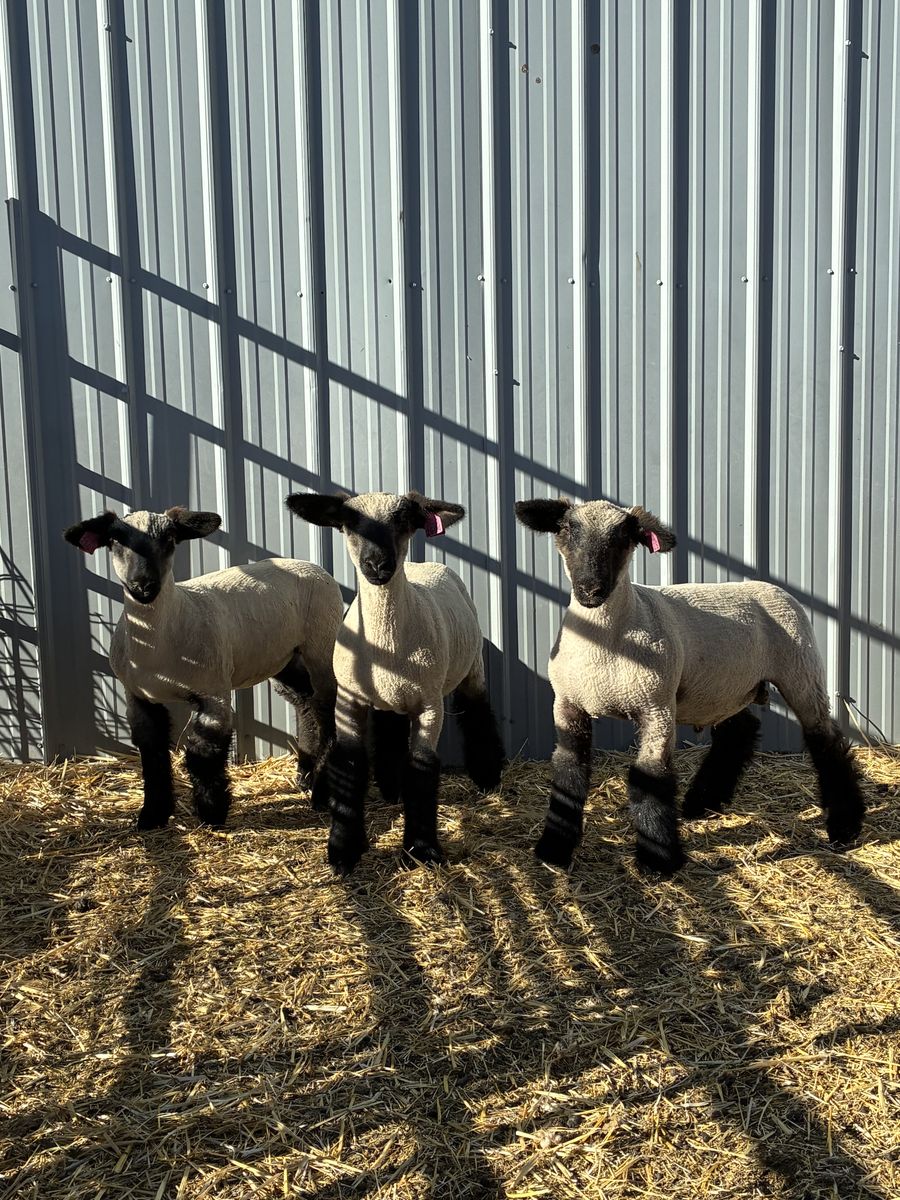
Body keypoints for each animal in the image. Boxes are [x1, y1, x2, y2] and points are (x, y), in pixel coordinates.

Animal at [63, 506, 343, 828]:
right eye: (115, 540)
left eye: (170, 538)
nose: (143, 586)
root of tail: (312, 565)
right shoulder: (138, 697)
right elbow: (152, 753)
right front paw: (152, 815)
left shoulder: (213, 693)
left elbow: (203, 752)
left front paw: (212, 813)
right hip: (285, 658)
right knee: (306, 707)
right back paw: (306, 778)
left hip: (322, 647)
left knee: (328, 714)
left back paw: (322, 794)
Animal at [286, 490, 505, 874]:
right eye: (349, 522)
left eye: (403, 519)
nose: (377, 565)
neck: (385, 646)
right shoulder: (350, 700)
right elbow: (349, 764)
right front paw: (343, 851)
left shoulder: (429, 703)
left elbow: (422, 767)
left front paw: (422, 850)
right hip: (391, 697)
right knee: (389, 729)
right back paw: (390, 789)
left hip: (471, 667)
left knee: (477, 711)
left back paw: (488, 775)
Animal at [514, 496, 866, 874]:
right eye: (567, 529)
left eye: (623, 535)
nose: (590, 589)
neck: (608, 645)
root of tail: (771, 587)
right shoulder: (568, 703)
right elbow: (569, 775)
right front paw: (553, 850)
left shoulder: (656, 706)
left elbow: (650, 777)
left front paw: (657, 860)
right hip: (726, 687)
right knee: (739, 732)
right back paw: (702, 803)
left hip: (800, 669)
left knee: (825, 740)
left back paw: (845, 825)